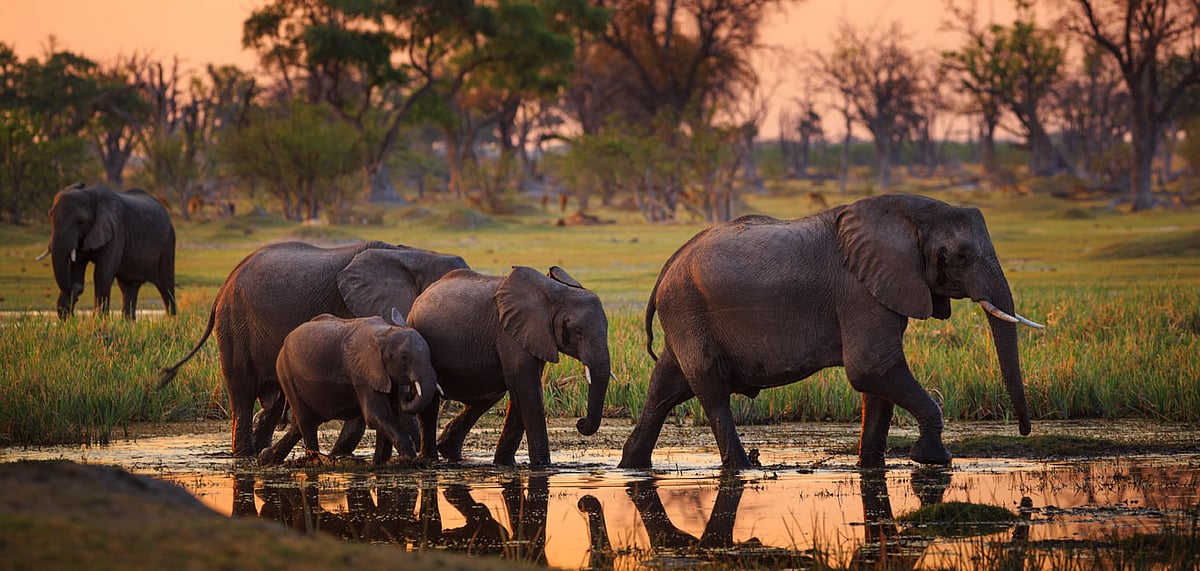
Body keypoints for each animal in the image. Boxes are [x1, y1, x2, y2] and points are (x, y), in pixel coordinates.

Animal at [46, 182, 176, 320]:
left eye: (80, 222)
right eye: (50, 216)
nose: (78, 289)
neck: (90, 193)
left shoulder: (116, 230)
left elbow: (102, 274)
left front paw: (99, 320)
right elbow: (76, 269)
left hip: (168, 242)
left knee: (166, 287)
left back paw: (171, 321)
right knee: (129, 287)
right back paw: (128, 322)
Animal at [257, 309, 439, 465]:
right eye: (404, 357)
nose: (409, 393)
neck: (385, 333)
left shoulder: (384, 375)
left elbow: (391, 413)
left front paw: (381, 462)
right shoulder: (361, 372)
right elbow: (375, 415)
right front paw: (409, 459)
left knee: (303, 423)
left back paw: (265, 458)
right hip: (285, 372)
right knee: (306, 422)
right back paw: (314, 460)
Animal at [405, 266, 611, 467]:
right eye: (577, 331)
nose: (580, 423)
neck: (554, 293)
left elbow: (521, 390)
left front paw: (505, 464)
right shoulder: (509, 332)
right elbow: (528, 389)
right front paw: (543, 466)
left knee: (488, 397)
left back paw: (450, 452)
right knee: (430, 401)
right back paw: (430, 460)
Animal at [618, 194, 1044, 471]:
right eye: (961, 256)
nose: (1025, 432)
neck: (909, 216)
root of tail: (667, 266)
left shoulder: (883, 287)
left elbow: (877, 382)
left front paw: (871, 466)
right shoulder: (859, 290)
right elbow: (871, 367)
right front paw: (933, 459)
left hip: (684, 314)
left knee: (665, 387)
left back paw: (631, 465)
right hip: (687, 309)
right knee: (711, 390)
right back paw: (744, 468)